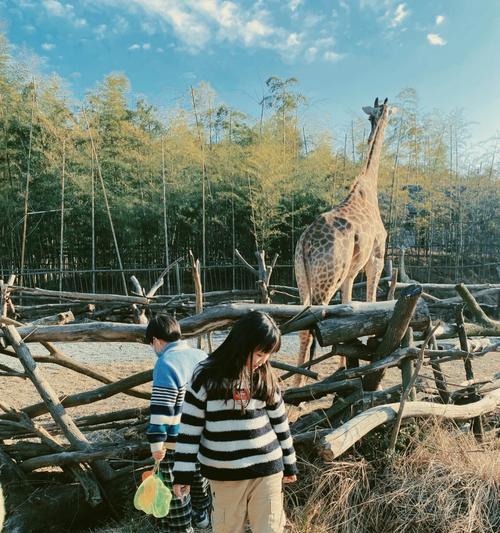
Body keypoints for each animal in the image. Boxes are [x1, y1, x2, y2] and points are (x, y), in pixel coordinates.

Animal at [292, 97, 394, 384]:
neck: (367, 187)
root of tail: (306, 243)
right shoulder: (376, 258)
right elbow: (371, 301)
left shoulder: (349, 273)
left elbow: (349, 307)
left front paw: (346, 362)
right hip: (326, 278)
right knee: (311, 322)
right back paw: (303, 381)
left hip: (302, 276)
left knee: (301, 324)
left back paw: (298, 379)